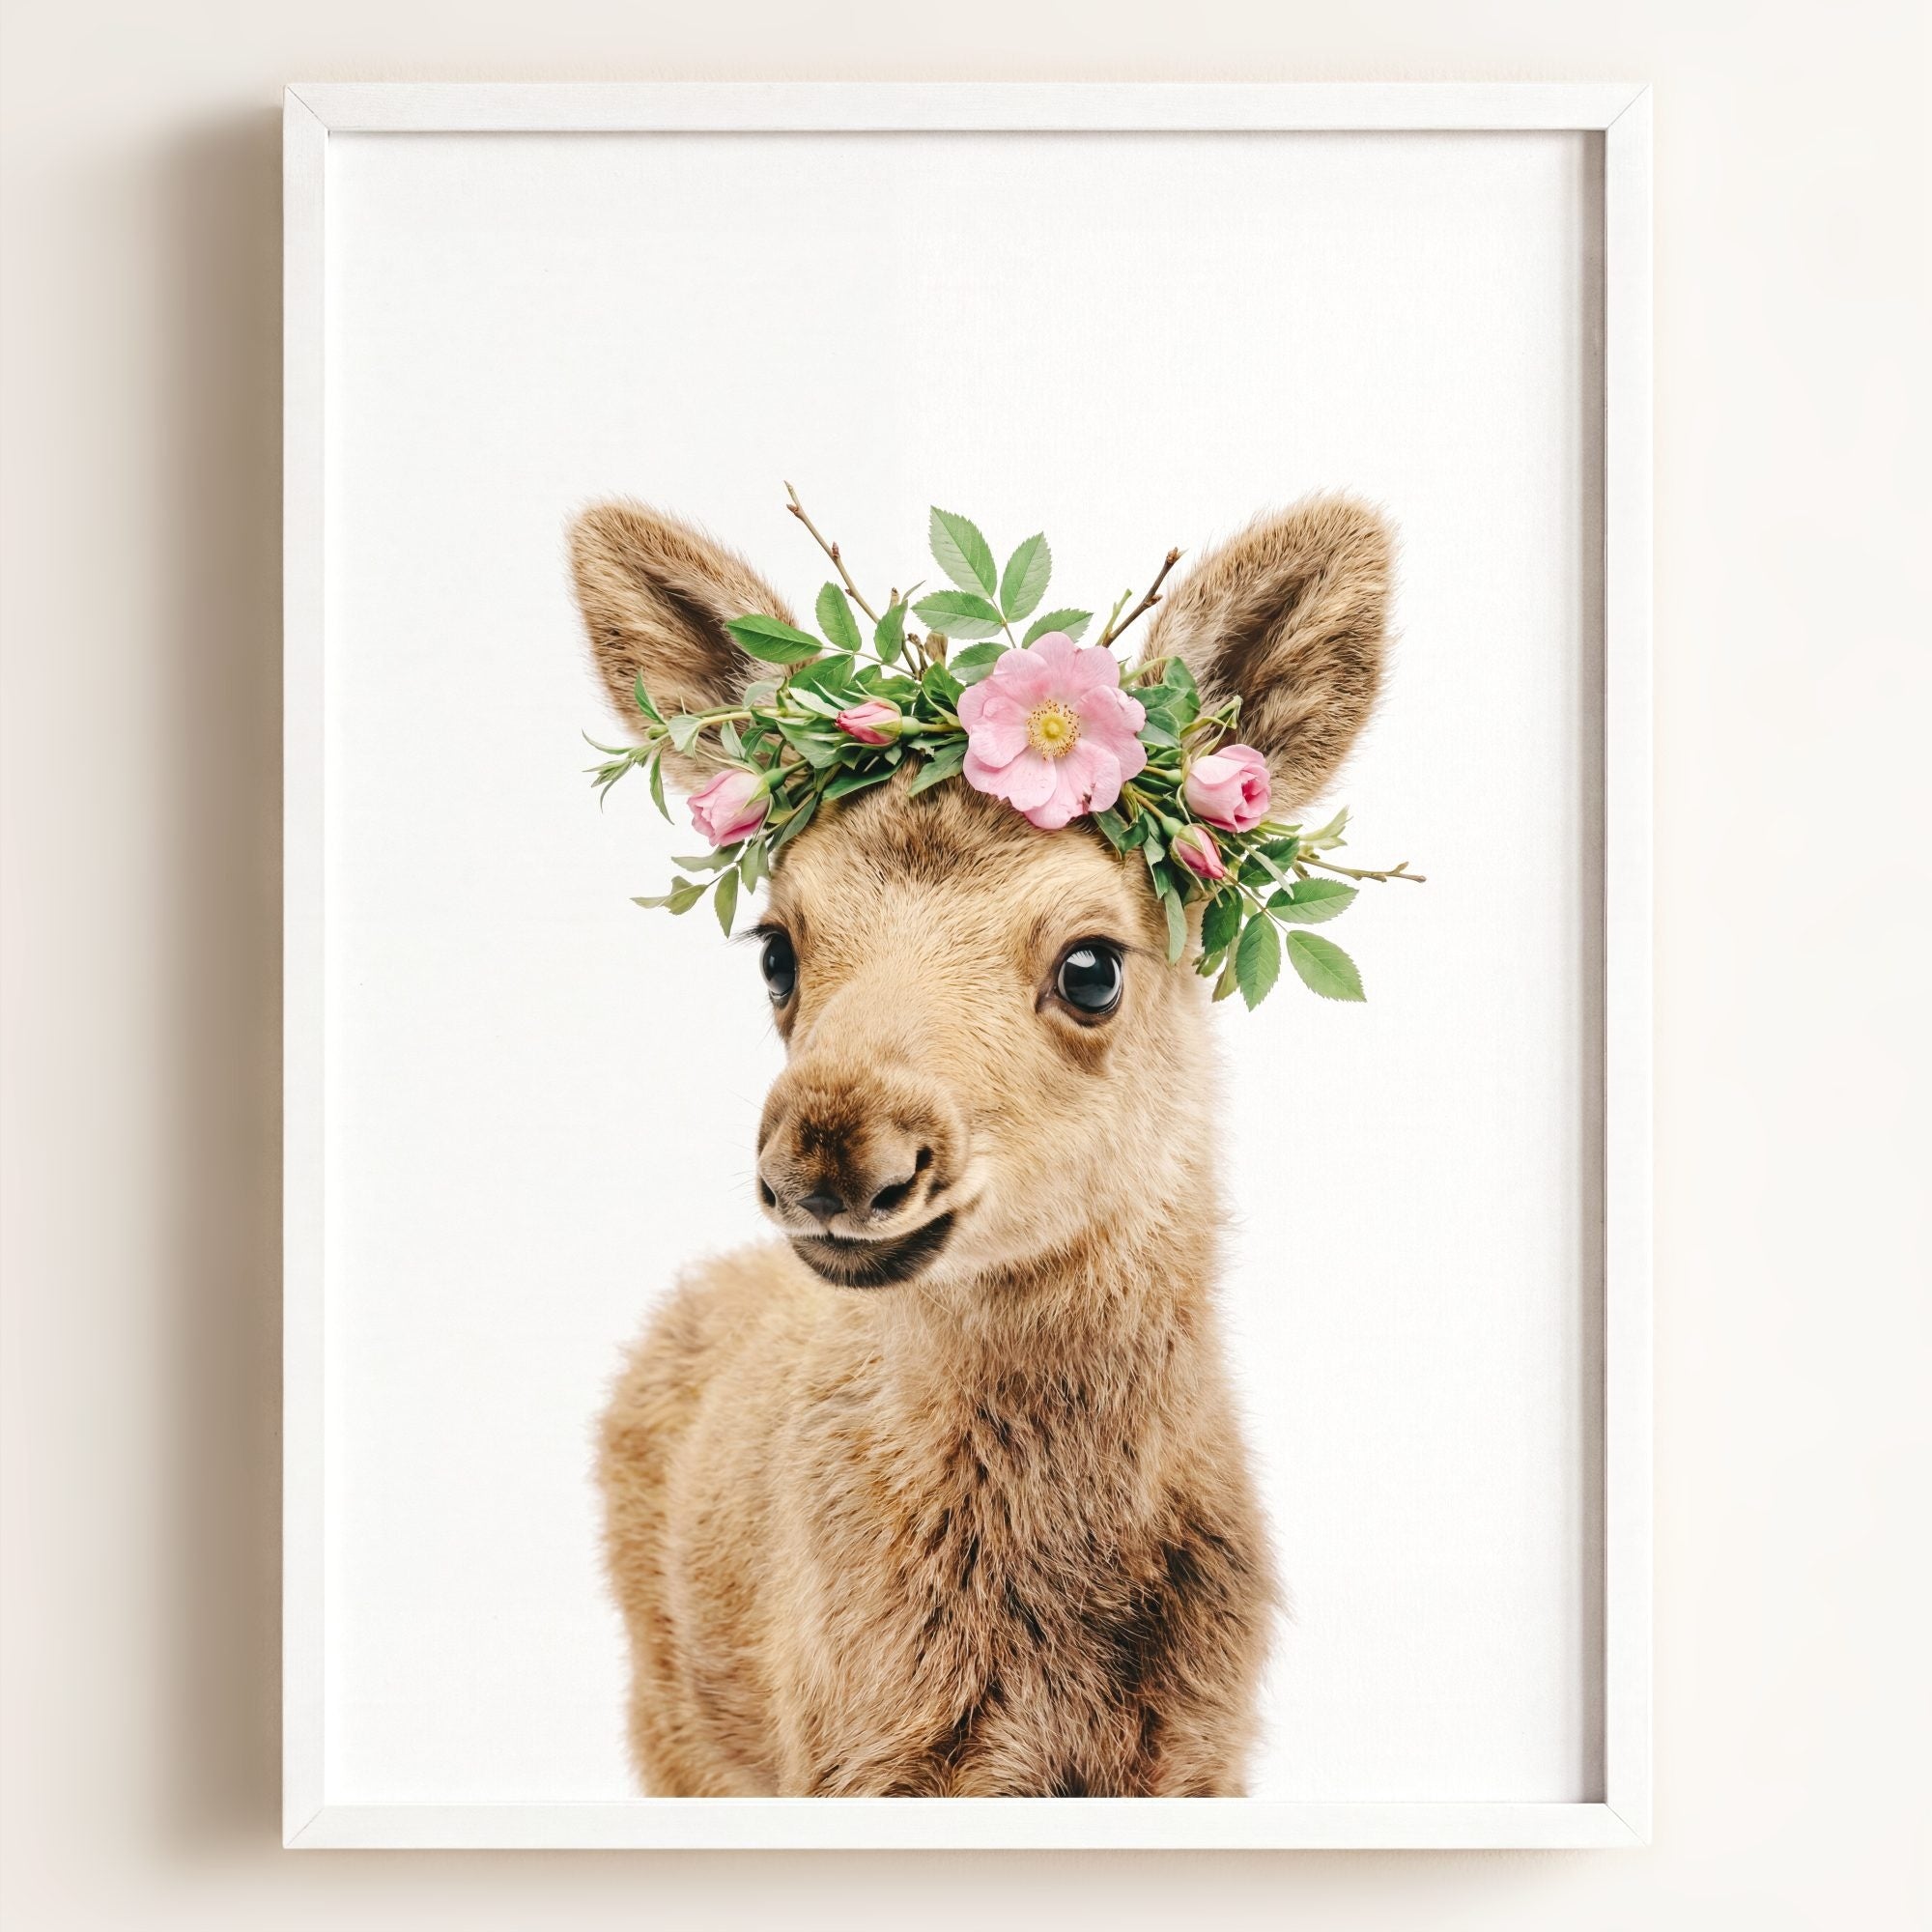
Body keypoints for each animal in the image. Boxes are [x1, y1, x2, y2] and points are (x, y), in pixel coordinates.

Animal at [569, 493, 1393, 1797]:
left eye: (1091, 964)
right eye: (776, 948)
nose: (833, 1152)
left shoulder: (1201, 1753)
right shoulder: (851, 1754)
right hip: (672, 1721)